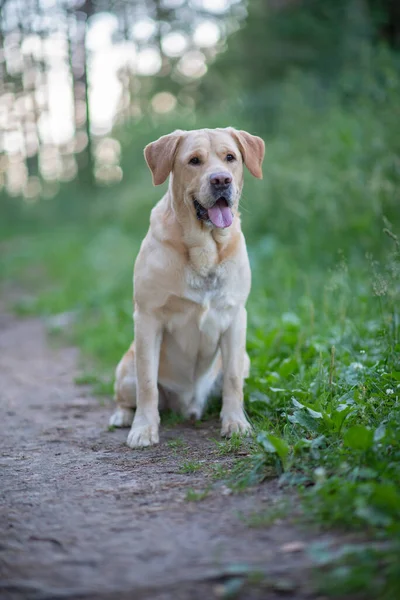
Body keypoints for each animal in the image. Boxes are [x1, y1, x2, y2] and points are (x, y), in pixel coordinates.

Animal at [109, 127, 266, 446]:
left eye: (230, 157)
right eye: (194, 160)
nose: (221, 180)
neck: (205, 247)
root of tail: (187, 407)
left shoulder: (235, 317)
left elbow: (232, 380)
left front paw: (235, 423)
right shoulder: (148, 318)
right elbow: (147, 383)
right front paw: (144, 429)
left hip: (244, 359)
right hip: (125, 368)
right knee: (128, 395)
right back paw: (123, 416)